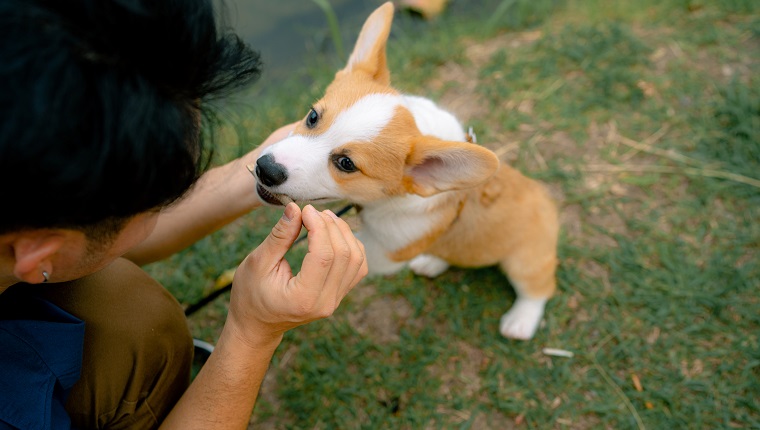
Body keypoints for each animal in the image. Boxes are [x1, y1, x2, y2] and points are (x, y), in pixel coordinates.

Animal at [254, 2, 560, 340]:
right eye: (311, 116)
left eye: (347, 164)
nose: (265, 169)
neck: (383, 204)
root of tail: (547, 199)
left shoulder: (384, 251)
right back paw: (432, 263)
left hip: (526, 261)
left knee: (539, 287)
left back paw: (521, 320)